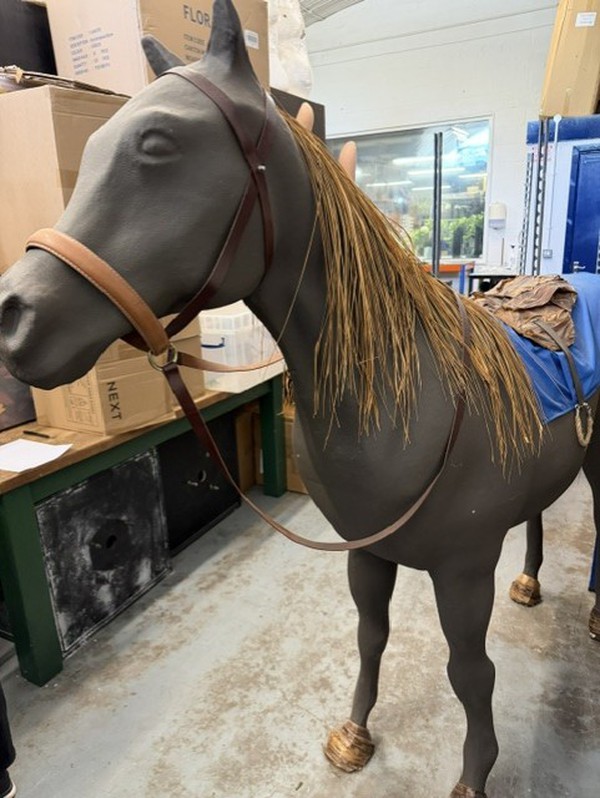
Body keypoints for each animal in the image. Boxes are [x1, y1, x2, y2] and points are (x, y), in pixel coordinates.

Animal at [0, 2, 598, 795]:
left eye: (157, 143)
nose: (16, 317)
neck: (413, 399)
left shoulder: (463, 572)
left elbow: (471, 673)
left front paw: (474, 774)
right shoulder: (366, 555)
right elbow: (371, 636)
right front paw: (354, 734)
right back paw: (528, 584)